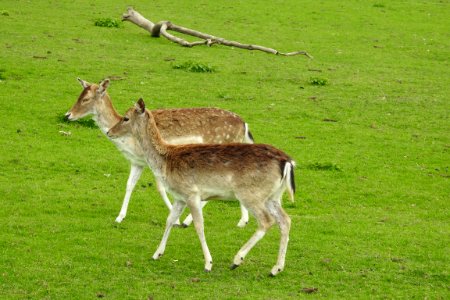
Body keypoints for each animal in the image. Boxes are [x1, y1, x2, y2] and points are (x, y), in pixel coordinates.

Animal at [65, 78, 253, 226]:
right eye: (78, 96)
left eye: (86, 99)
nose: (68, 115)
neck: (129, 142)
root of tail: (244, 125)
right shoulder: (137, 162)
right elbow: (129, 185)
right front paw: (119, 217)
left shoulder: (155, 161)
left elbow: (160, 188)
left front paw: (175, 219)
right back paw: (242, 220)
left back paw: (188, 220)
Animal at [107, 97, 298, 276]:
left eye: (125, 117)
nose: (109, 132)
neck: (166, 161)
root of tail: (287, 162)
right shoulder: (179, 197)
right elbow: (170, 220)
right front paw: (156, 254)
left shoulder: (191, 193)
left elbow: (199, 226)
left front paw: (208, 264)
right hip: (273, 197)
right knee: (285, 220)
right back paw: (276, 269)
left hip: (251, 194)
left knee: (267, 220)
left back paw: (237, 260)